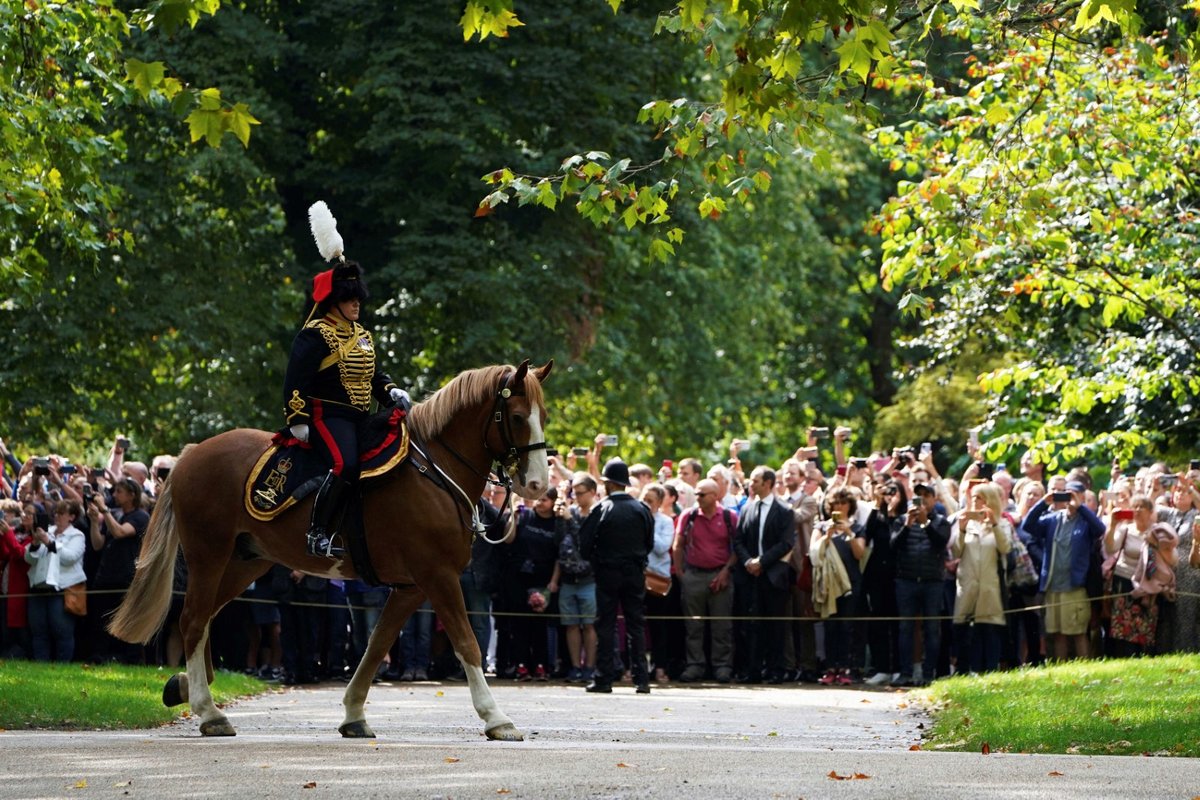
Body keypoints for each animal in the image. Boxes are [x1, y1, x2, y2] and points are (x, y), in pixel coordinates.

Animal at [108, 359, 552, 743]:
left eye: (543, 416)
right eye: (516, 417)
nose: (536, 485)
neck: (435, 472)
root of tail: (191, 455)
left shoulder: (411, 587)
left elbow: (375, 646)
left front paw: (354, 714)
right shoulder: (438, 576)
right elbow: (466, 642)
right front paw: (497, 718)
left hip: (245, 563)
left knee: (202, 620)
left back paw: (186, 687)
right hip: (209, 555)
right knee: (194, 620)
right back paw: (208, 711)